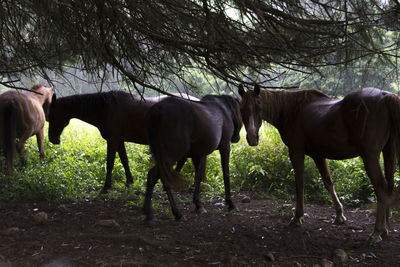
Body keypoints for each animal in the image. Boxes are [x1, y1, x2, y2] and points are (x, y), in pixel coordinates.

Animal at [47, 91, 199, 194]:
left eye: (51, 116)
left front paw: (106, 187)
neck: (106, 109)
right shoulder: (119, 141)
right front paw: (129, 182)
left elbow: (110, 163)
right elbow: (124, 160)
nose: (52, 139)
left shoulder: (113, 140)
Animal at [145, 94, 244, 224]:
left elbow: (198, 176)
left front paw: (198, 205)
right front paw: (231, 204)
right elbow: (226, 173)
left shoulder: (199, 154)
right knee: (155, 176)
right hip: (170, 156)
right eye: (241, 113)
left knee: (160, 178)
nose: (236, 138)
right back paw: (161, 215)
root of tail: (158, 110)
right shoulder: (225, 146)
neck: (223, 109)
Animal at [239, 85, 400, 243]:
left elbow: (299, 185)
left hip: (370, 157)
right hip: (388, 151)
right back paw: (385, 229)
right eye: (242, 109)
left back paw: (377, 232)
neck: (290, 109)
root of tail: (384, 95)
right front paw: (339, 216)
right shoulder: (318, 156)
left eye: (259, 107)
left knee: (381, 188)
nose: (252, 138)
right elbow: (328, 182)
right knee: (389, 186)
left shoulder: (296, 152)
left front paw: (297, 217)